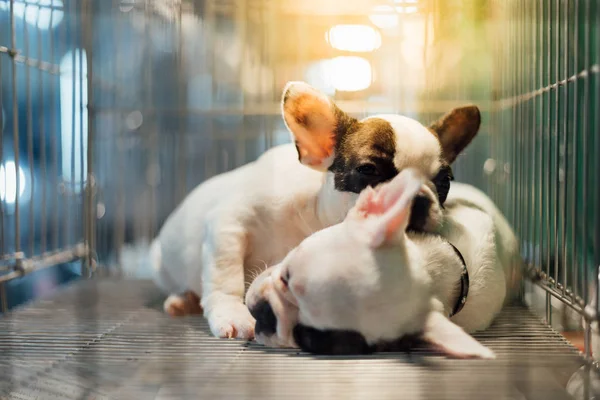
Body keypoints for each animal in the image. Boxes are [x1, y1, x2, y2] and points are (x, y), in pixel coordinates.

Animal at [143, 82, 480, 340]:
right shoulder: (229, 224)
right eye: (368, 170)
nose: (419, 199)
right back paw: (182, 299)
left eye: (444, 181)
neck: (314, 217)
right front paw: (232, 314)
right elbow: (225, 276)